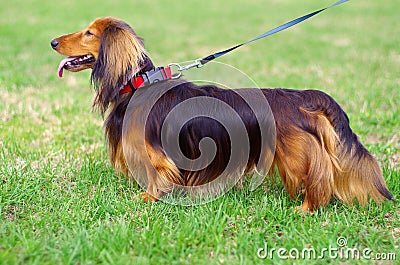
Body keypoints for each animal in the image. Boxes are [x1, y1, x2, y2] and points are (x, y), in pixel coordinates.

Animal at [49, 16, 390, 210]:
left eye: (89, 33)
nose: (52, 41)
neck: (139, 83)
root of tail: (303, 98)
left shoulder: (158, 155)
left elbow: (158, 177)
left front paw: (148, 198)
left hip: (298, 155)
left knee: (320, 178)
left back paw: (307, 208)